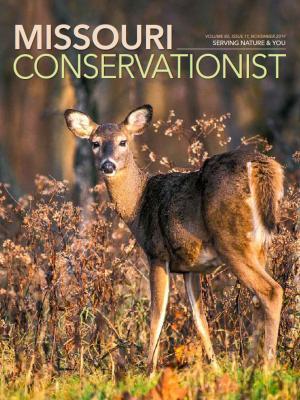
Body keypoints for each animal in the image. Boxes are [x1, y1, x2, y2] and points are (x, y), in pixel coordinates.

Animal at [64, 105, 284, 372]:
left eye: (123, 141)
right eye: (95, 143)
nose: (108, 165)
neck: (138, 207)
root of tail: (262, 165)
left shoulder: (157, 253)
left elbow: (157, 315)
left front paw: (149, 371)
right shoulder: (191, 268)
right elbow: (201, 322)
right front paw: (216, 369)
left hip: (231, 240)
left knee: (271, 291)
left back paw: (268, 367)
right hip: (260, 246)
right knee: (258, 298)